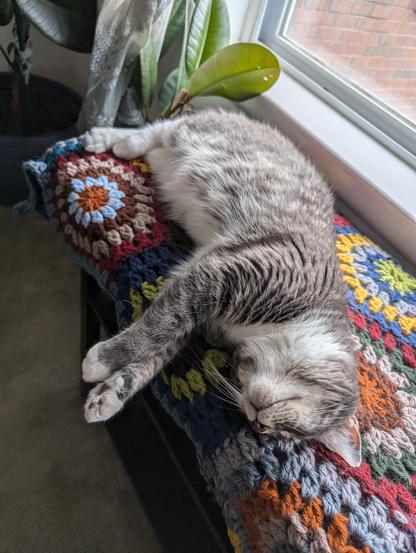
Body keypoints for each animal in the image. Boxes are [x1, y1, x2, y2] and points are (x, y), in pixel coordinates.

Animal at [82, 111, 360, 466]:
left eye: (285, 434)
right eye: (290, 426)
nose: (259, 421)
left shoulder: (195, 299)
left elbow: (160, 345)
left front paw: (110, 393)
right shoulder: (217, 276)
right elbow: (156, 329)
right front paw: (101, 360)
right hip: (201, 130)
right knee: (164, 126)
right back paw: (115, 140)